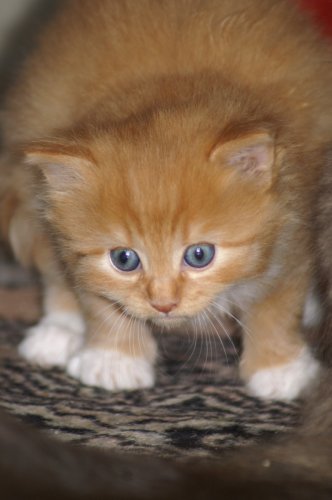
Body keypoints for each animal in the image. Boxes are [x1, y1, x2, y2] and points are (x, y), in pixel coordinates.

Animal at [0, 0, 330, 398]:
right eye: (124, 259)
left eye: (199, 255)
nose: (164, 304)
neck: (172, 87)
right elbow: (95, 296)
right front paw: (115, 359)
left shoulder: (293, 221)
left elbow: (277, 303)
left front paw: (279, 368)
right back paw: (58, 329)